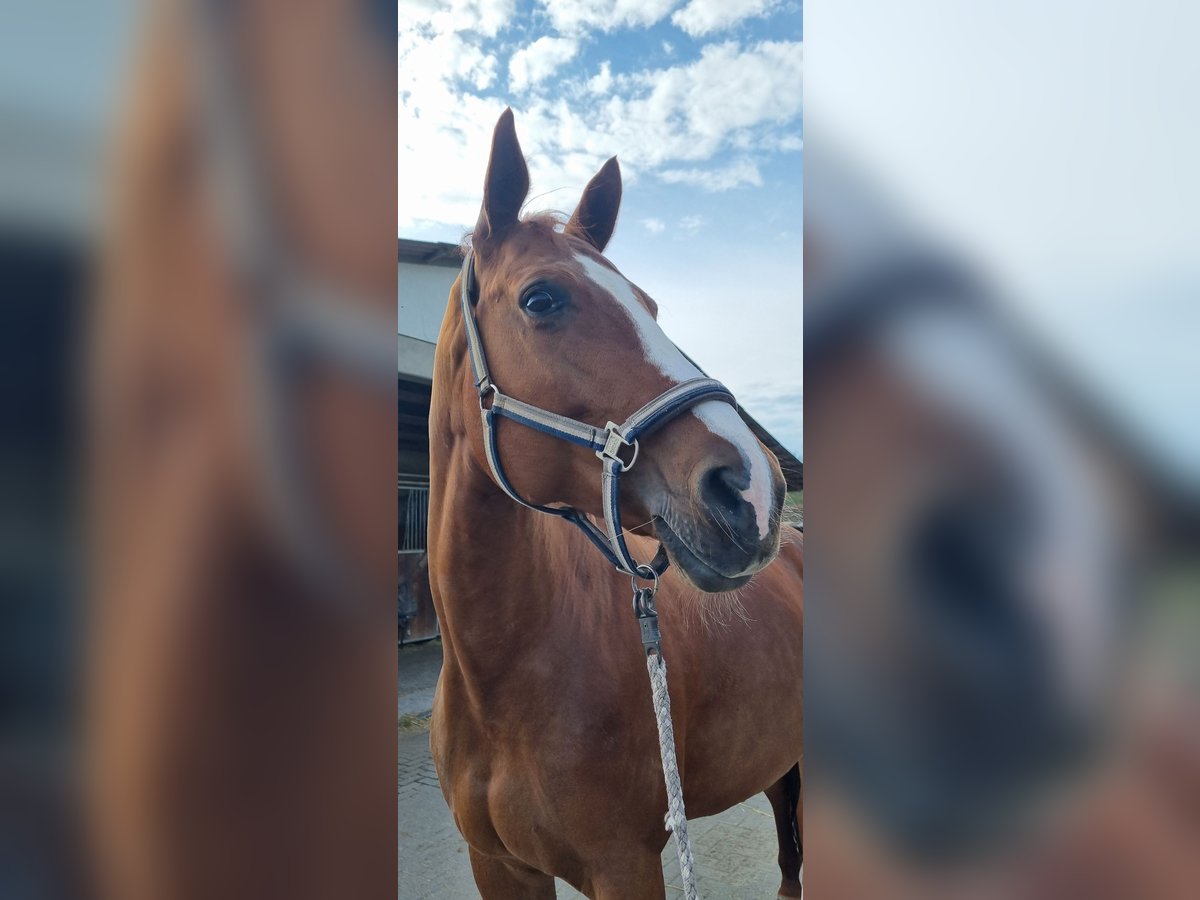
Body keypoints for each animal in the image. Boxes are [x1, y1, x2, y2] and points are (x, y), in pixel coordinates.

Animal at [427, 109, 804, 899]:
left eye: (651, 306)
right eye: (541, 298)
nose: (755, 488)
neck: (500, 683)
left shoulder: (625, 863)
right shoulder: (497, 867)